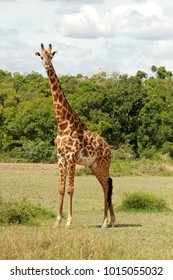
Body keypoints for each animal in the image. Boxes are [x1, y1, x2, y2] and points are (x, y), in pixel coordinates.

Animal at [35, 43, 115, 228]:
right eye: (41, 56)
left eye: (51, 56)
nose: (47, 66)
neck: (63, 124)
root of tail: (108, 148)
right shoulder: (60, 157)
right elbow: (61, 188)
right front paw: (57, 221)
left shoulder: (71, 157)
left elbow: (71, 189)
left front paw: (69, 222)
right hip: (93, 166)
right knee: (106, 184)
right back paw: (111, 221)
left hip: (103, 164)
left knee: (107, 187)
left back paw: (104, 222)